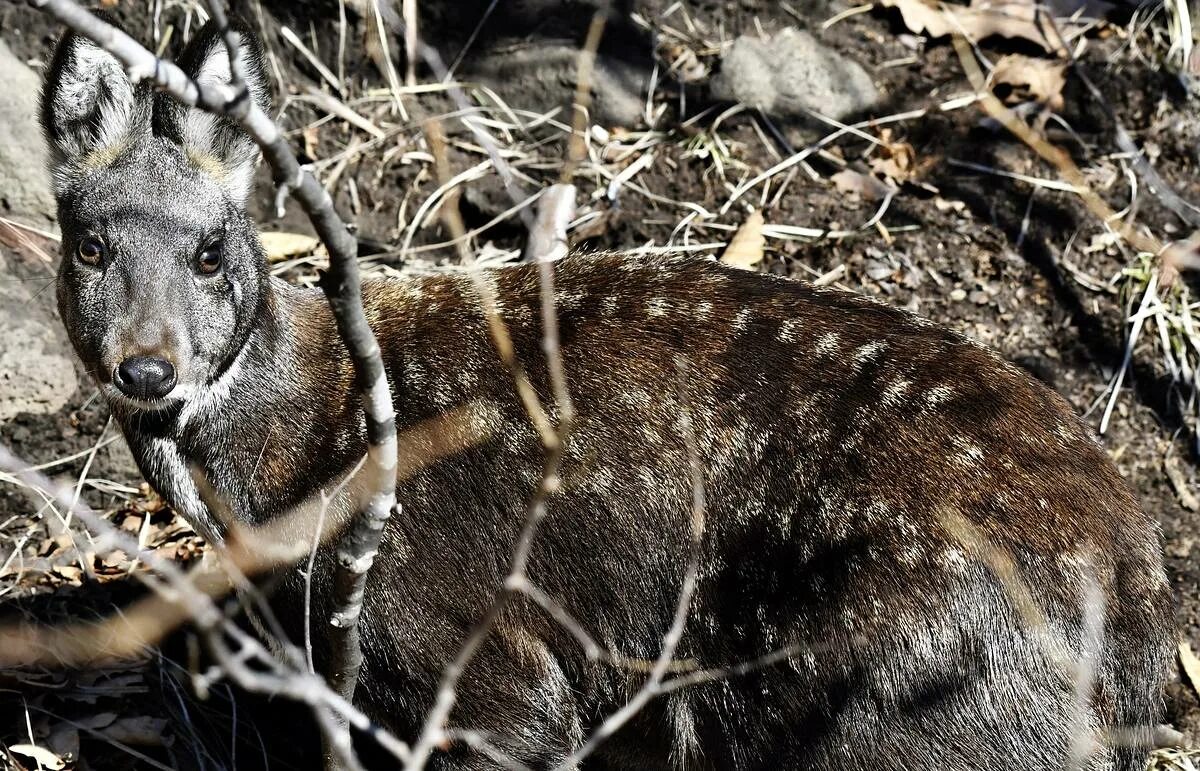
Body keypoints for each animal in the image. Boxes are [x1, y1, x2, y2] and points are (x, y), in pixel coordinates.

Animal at [39, 15, 1171, 763]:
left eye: (210, 251)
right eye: (88, 243)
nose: (148, 366)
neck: (298, 460)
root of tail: (1139, 617)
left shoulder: (485, 663)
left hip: (899, 710)